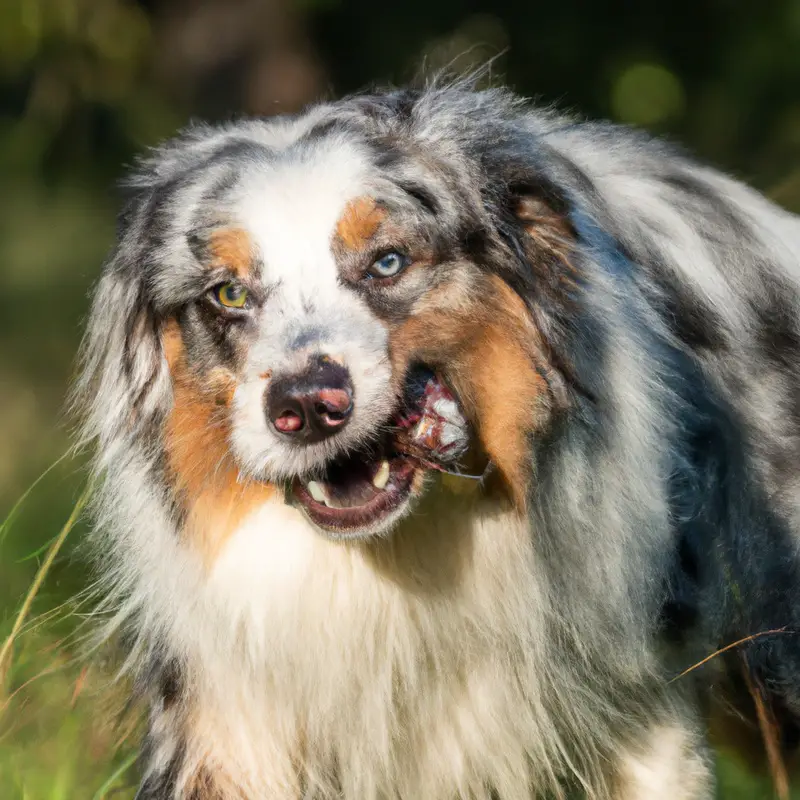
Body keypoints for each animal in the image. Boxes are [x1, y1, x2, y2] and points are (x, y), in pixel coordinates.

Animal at [73, 73, 800, 792]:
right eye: (227, 293)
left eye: (388, 262)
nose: (307, 405)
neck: (391, 567)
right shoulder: (225, 725)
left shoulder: (648, 712)